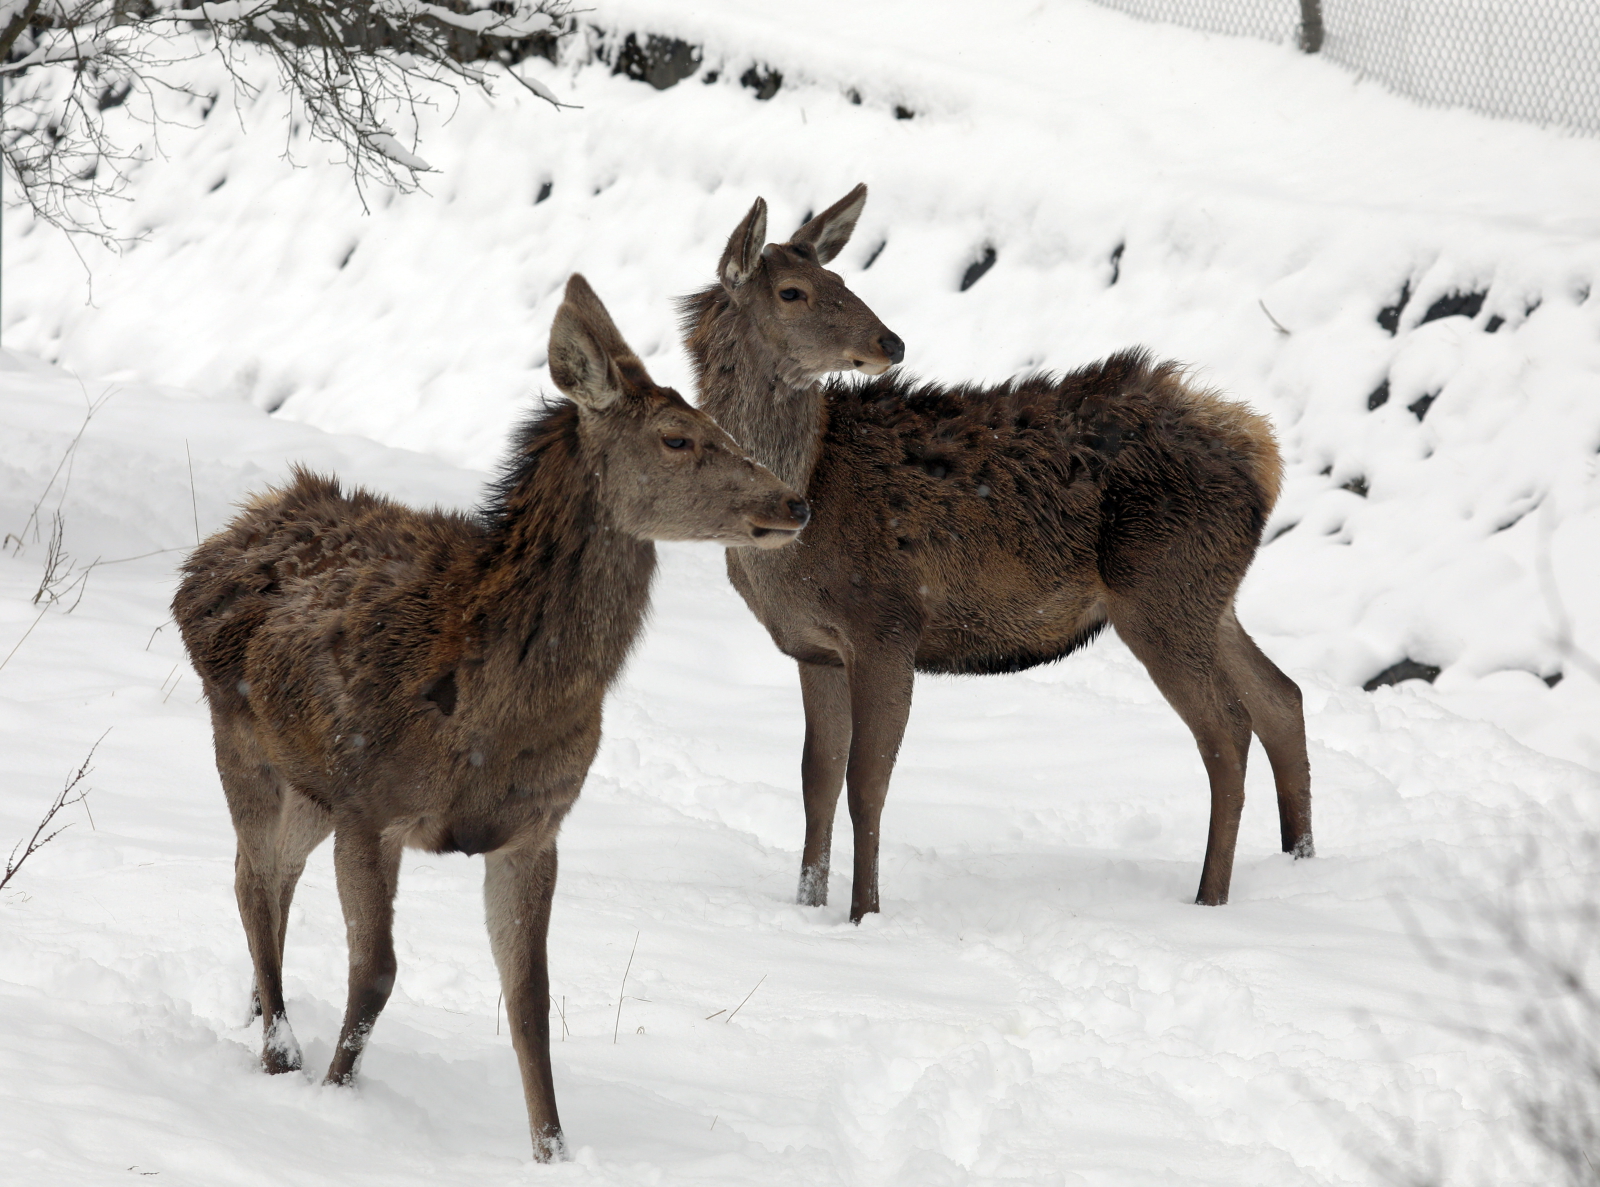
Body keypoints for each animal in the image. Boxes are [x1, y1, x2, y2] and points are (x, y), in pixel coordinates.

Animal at [175, 273, 812, 1158]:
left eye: (722, 425)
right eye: (678, 437)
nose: (795, 500)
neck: (493, 705)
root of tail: (217, 546)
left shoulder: (533, 827)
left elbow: (531, 998)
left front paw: (553, 1147)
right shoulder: (370, 804)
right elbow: (377, 971)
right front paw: (336, 1099)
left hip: (307, 787)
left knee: (268, 879)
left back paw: (259, 1014)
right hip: (247, 747)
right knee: (253, 880)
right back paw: (278, 1049)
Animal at [678, 187, 1312, 927]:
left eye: (839, 277)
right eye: (793, 291)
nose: (889, 342)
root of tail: (1261, 450)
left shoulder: (887, 623)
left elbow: (866, 782)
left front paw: (865, 915)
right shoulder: (814, 646)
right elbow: (817, 780)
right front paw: (807, 905)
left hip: (1162, 592)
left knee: (1228, 729)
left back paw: (1209, 897)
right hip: (1210, 596)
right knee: (1282, 697)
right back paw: (1301, 862)